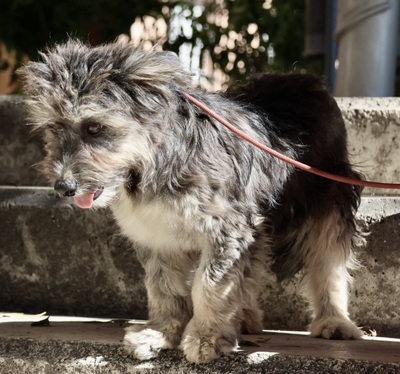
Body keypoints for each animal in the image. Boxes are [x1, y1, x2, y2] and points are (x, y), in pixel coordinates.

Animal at [19, 40, 366, 362]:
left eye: (94, 127)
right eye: (54, 127)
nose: (63, 186)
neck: (150, 162)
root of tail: (302, 78)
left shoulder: (226, 228)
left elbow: (210, 284)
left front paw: (206, 336)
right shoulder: (157, 233)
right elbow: (164, 288)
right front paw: (161, 333)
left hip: (328, 205)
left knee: (328, 264)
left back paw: (334, 320)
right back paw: (245, 317)